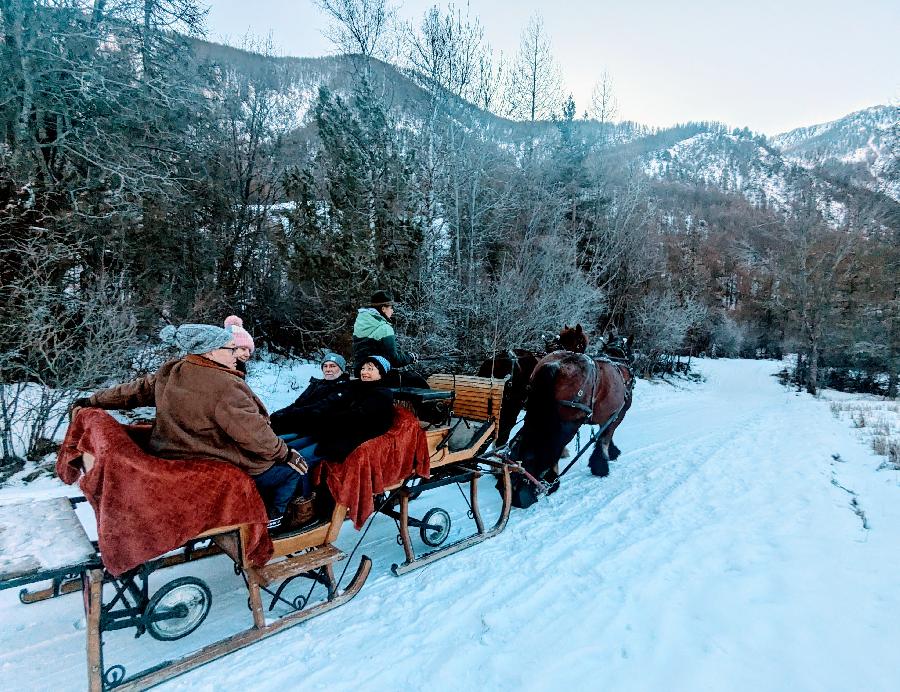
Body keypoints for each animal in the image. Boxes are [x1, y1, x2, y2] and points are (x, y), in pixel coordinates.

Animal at [510, 352, 628, 508]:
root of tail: (554, 365)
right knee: (551, 447)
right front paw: (602, 465)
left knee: (525, 444)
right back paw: (547, 483)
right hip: (567, 423)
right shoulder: (616, 415)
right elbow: (605, 439)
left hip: (536, 414)